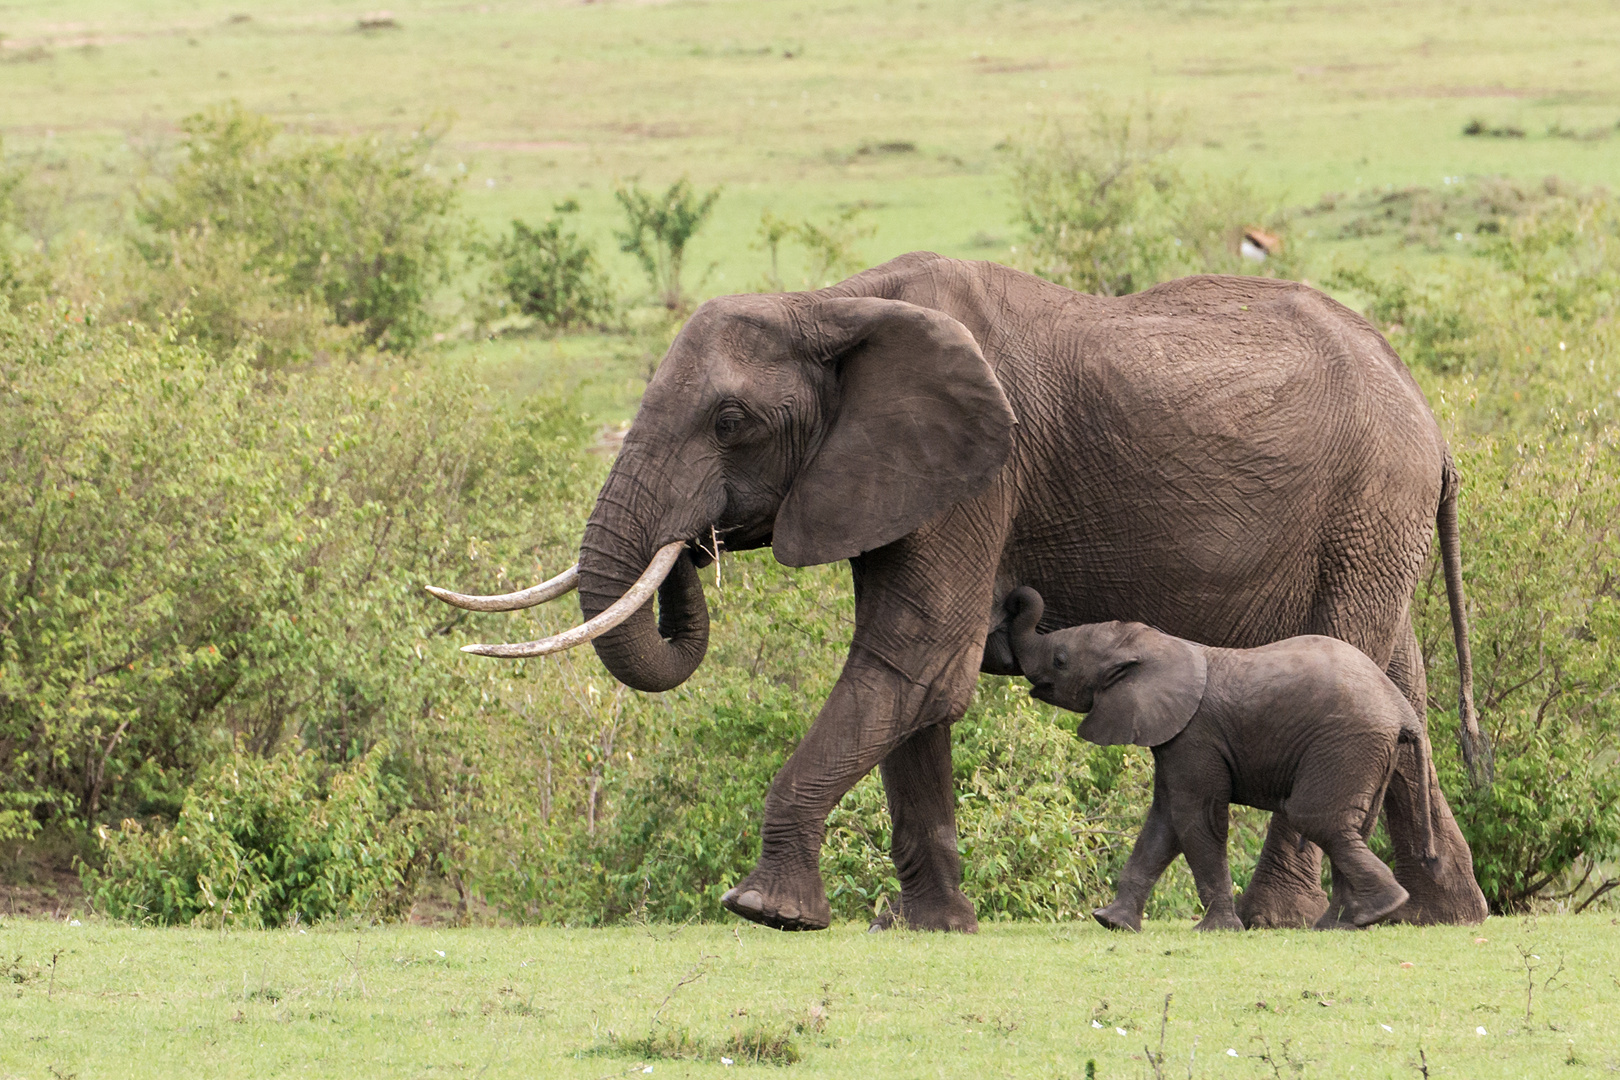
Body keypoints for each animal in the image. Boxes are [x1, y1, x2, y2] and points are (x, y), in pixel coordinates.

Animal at [1004, 586, 1438, 932]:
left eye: (1060, 660)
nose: (1015, 595)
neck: (1160, 646)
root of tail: (1402, 712)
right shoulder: (1175, 737)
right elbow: (1164, 822)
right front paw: (1112, 924)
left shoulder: (1196, 736)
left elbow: (1196, 817)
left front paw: (1214, 930)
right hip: (1368, 752)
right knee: (1351, 827)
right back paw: (1342, 924)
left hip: (1346, 743)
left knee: (1316, 819)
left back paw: (1376, 911)